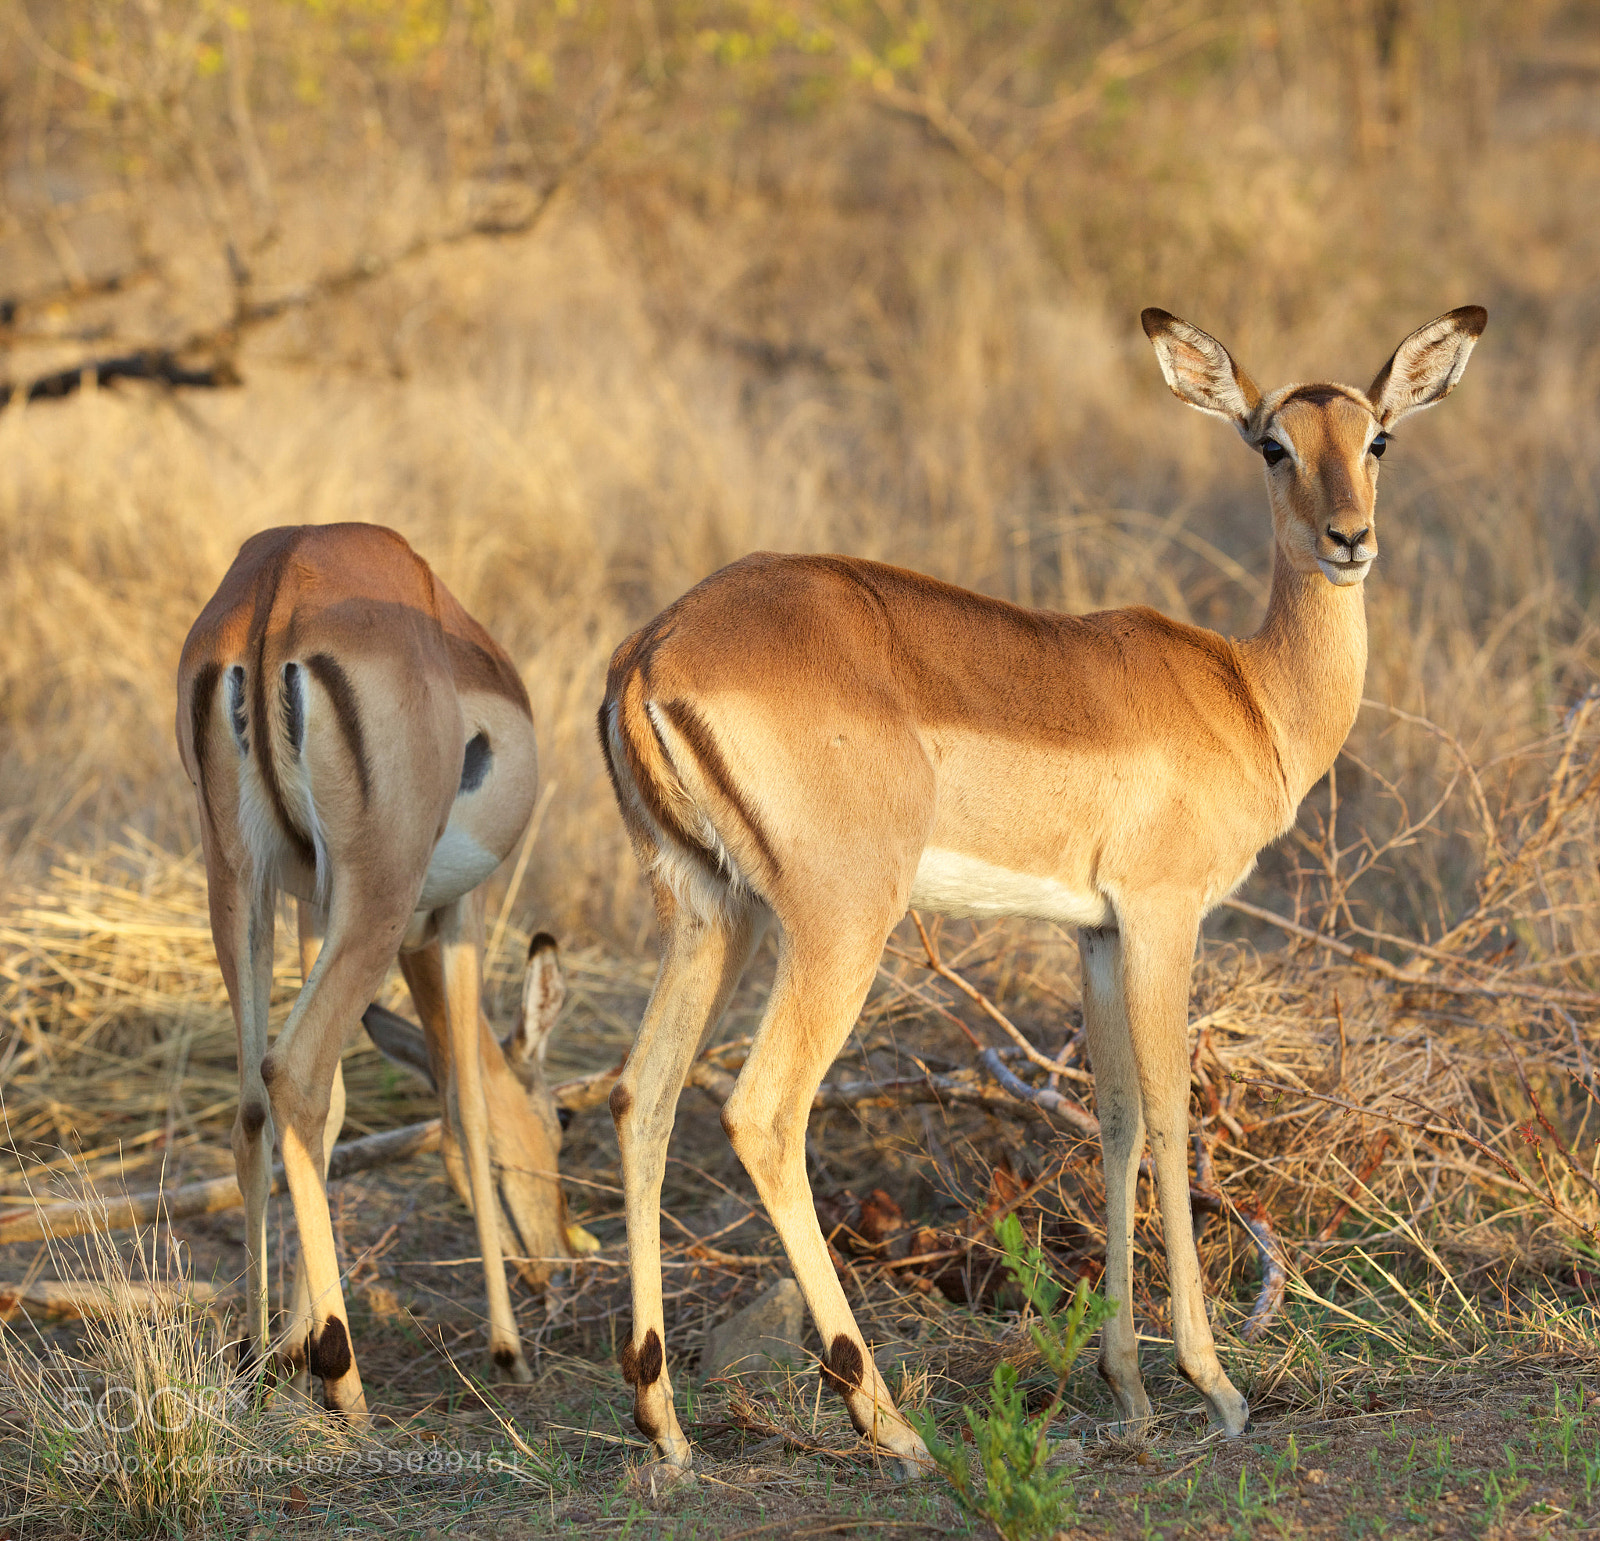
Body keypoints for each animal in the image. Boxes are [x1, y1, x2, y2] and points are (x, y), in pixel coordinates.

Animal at [176, 522, 572, 1417]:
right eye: (561, 1123)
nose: (557, 1261)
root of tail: (279, 582)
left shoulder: (312, 903)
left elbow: (337, 1111)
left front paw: (291, 1342)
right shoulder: (452, 919)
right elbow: (466, 1104)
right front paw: (509, 1350)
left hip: (238, 882)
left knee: (257, 1094)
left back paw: (256, 1358)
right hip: (379, 895)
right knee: (292, 1070)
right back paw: (346, 1379)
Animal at [598, 306, 1486, 1474]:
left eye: (1376, 437)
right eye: (1272, 445)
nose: (1349, 539)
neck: (1248, 694)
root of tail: (653, 651)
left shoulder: (1095, 933)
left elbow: (1112, 1117)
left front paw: (1129, 1389)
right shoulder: (1163, 915)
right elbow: (1171, 1114)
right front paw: (1214, 1386)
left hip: (710, 914)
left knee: (641, 1096)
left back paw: (665, 1427)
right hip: (839, 923)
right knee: (761, 1108)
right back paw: (889, 1424)